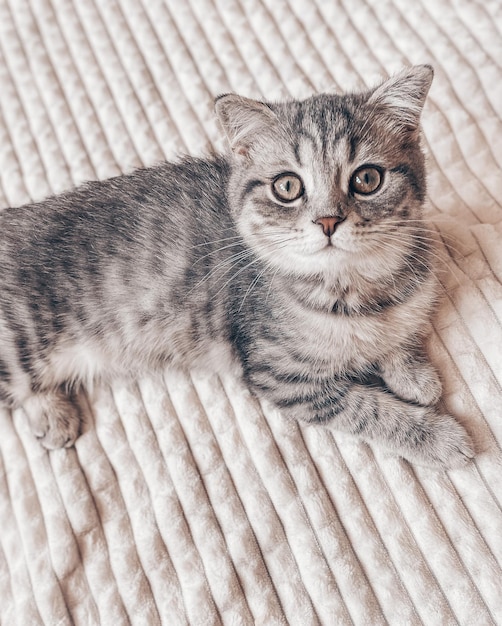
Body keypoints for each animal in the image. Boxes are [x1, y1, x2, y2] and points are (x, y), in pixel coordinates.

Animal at [0, 66, 472, 466]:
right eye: (288, 187)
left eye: (367, 179)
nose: (328, 221)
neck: (357, 289)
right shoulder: (278, 374)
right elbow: (367, 408)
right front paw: (439, 438)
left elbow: (399, 334)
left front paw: (413, 373)